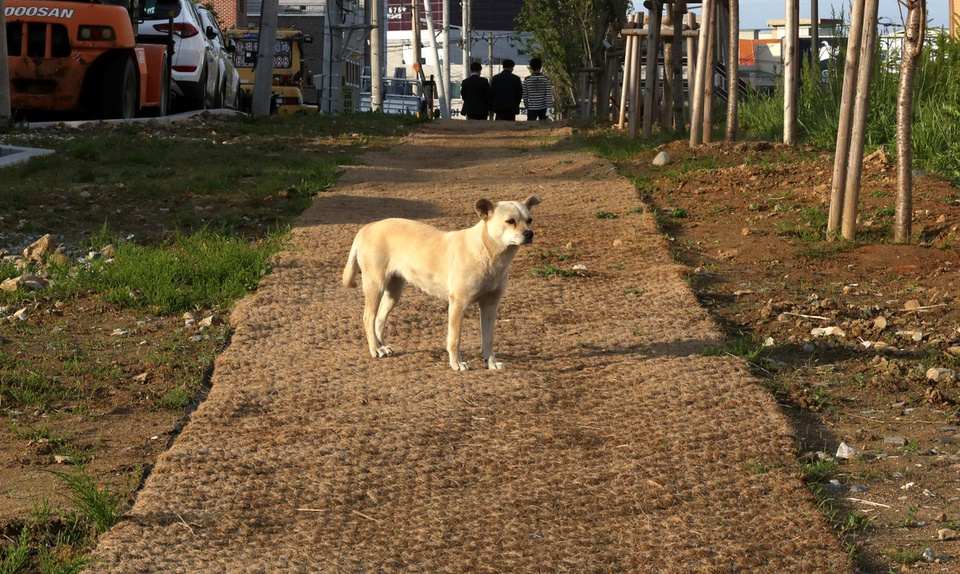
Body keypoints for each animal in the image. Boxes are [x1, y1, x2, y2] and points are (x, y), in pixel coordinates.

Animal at [344, 196, 540, 372]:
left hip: (394, 291)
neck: (486, 251)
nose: (529, 234)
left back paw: (381, 346)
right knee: (368, 318)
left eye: (529, 220)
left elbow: (488, 338)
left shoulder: (490, 305)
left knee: (378, 319)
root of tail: (366, 228)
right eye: (510, 221)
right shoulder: (458, 304)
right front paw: (457, 364)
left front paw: (490, 362)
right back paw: (375, 349)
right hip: (375, 285)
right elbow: (454, 339)